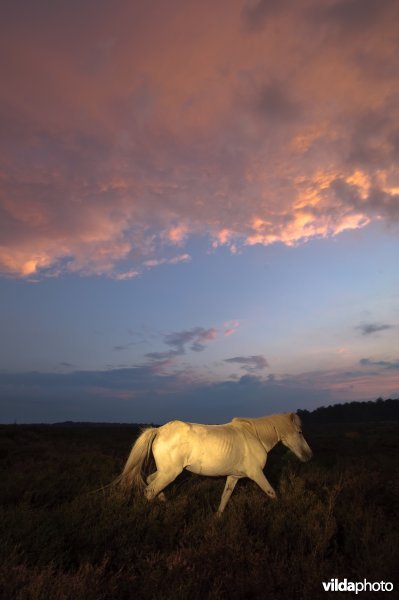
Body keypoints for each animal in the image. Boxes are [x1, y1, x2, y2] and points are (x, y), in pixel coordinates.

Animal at [114, 412, 314, 516]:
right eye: (300, 432)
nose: (309, 456)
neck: (255, 436)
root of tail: (159, 430)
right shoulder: (256, 474)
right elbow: (272, 493)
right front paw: (284, 512)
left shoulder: (234, 477)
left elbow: (225, 498)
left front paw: (217, 520)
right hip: (170, 473)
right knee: (149, 491)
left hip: (167, 471)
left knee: (150, 481)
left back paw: (165, 502)